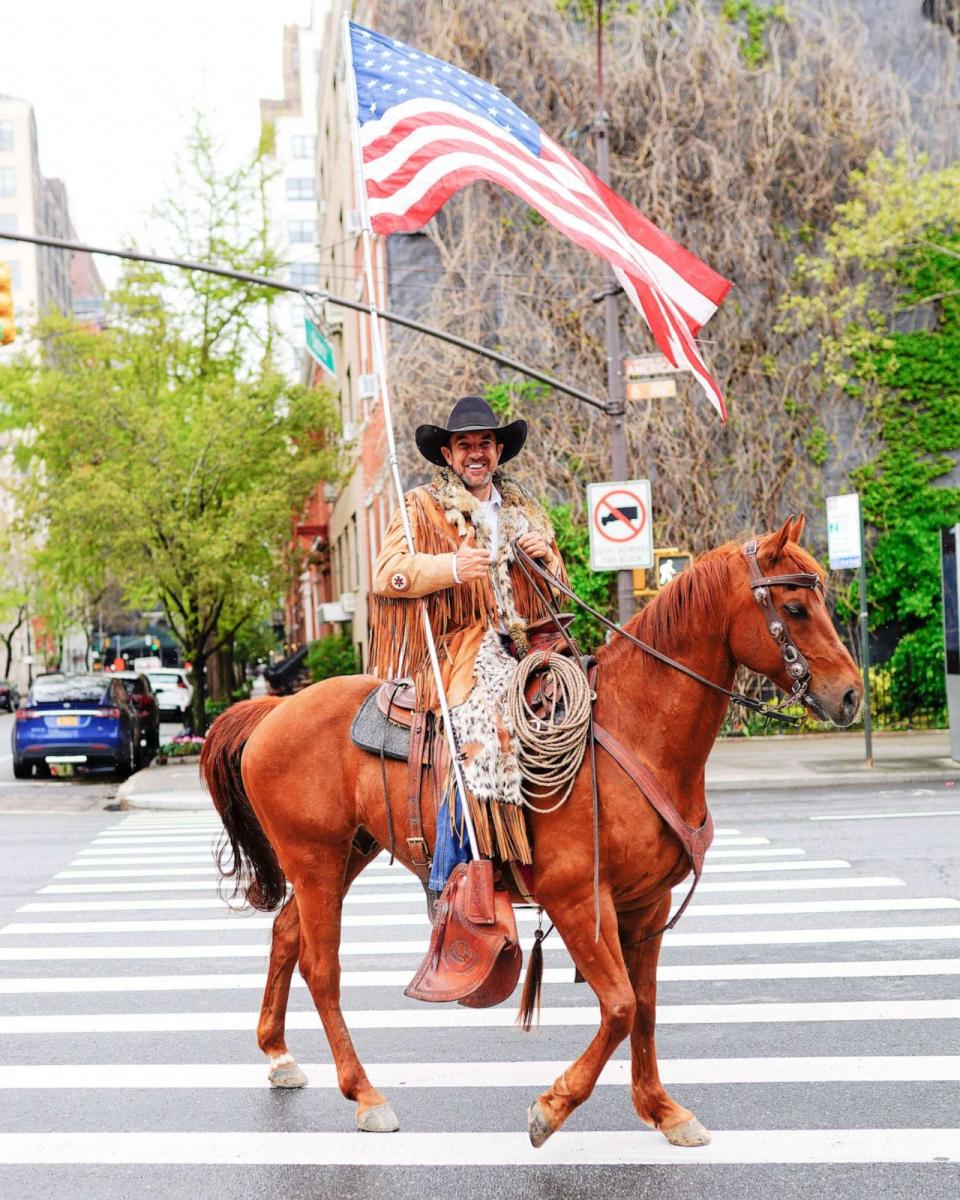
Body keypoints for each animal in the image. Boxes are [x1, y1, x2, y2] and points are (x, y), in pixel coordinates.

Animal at [202, 516, 864, 1142]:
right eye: (796, 608)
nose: (852, 696)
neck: (635, 733)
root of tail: (275, 708)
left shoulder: (647, 905)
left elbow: (646, 1007)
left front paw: (662, 1110)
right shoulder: (577, 901)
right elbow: (620, 1006)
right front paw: (552, 1108)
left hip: (346, 855)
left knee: (286, 935)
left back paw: (280, 1055)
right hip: (314, 859)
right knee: (321, 968)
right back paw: (365, 1094)